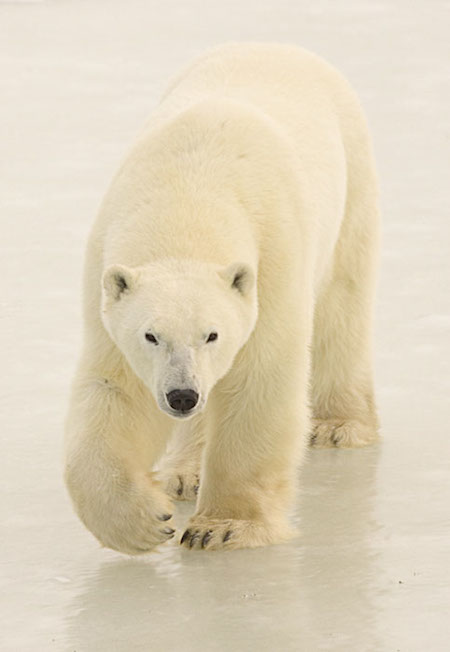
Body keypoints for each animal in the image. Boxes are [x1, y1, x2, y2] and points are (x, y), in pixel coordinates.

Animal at [64, 42, 380, 555]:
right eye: (150, 336)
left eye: (212, 334)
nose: (182, 395)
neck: (188, 193)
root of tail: (277, 45)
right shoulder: (105, 277)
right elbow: (117, 391)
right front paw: (145, 521)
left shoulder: (273, 258)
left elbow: (259, 379)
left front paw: (222, 526)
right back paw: (184, 473)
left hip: (352, 182)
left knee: (342, 305)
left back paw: (338, 424)